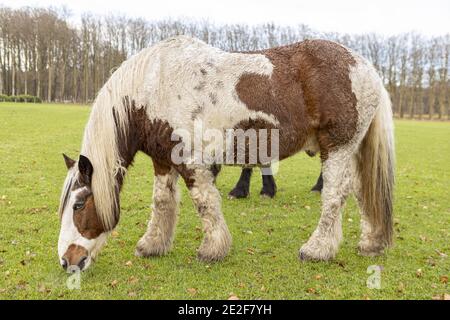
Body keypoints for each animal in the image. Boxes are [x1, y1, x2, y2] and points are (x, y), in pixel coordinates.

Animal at [57, 36, 394, 272]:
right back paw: (370, 243)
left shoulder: (192, 162)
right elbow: (163, 201)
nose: (66, 262)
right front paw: (152, 245)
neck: (154, 85)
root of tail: (365, 67)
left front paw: (212, 249)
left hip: (337, 148)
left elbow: (204, 203)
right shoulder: (163, 160)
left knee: (335, 195)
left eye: (78, 205)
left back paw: (317, 249)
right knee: (363, 192)